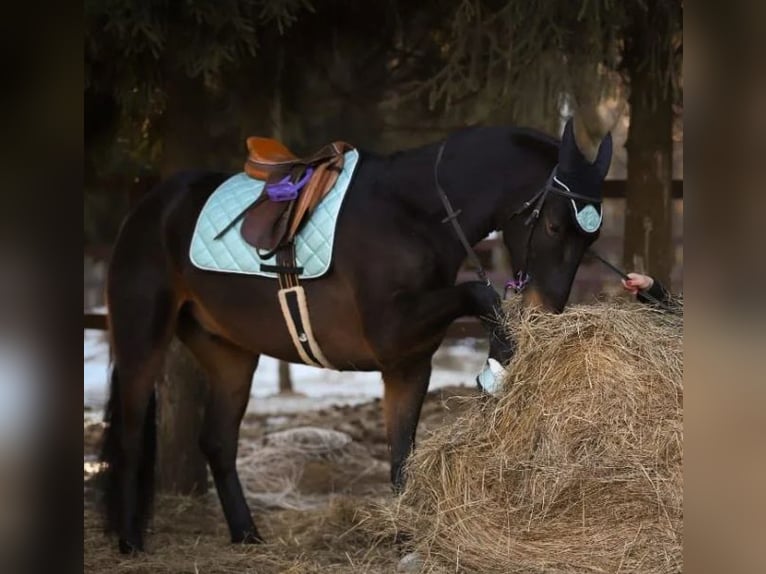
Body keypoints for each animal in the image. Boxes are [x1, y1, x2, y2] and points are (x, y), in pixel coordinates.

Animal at [97, 110, 612, 556]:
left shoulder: (408, 365)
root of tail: (148, 206)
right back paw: (130, 541)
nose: (546, 313)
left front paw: (407, 536)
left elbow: (402, 457)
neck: (414, 212)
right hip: (143, 339)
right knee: (130, 435)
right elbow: (479, 295)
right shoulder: (392, 331)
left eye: (590, 237)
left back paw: (246, 534)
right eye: (553, 225)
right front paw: (500, 359)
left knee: (218, 441)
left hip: (230, 355)